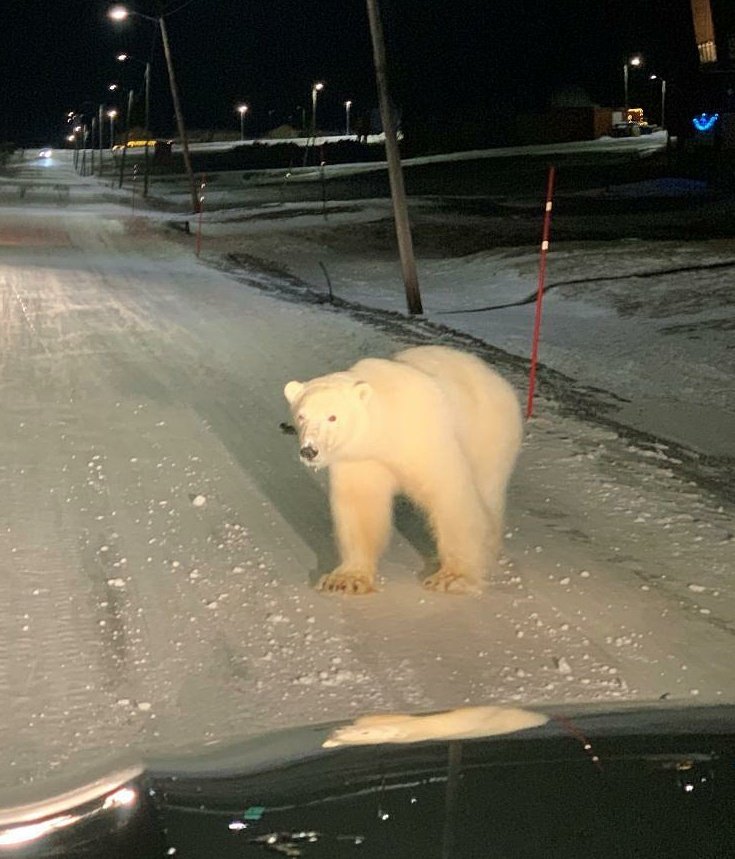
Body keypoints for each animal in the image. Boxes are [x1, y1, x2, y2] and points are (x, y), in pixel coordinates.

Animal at [283, 345, 523, 595]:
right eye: (301, 416)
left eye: (332, 416)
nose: (309, 451)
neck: (387, 422)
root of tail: (495, 377)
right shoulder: (362, 458)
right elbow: (361, 507)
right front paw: (345, 579)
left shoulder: (423, 435)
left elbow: (450, 495)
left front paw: (451, 578)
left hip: (489, 432)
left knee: (488, 491)